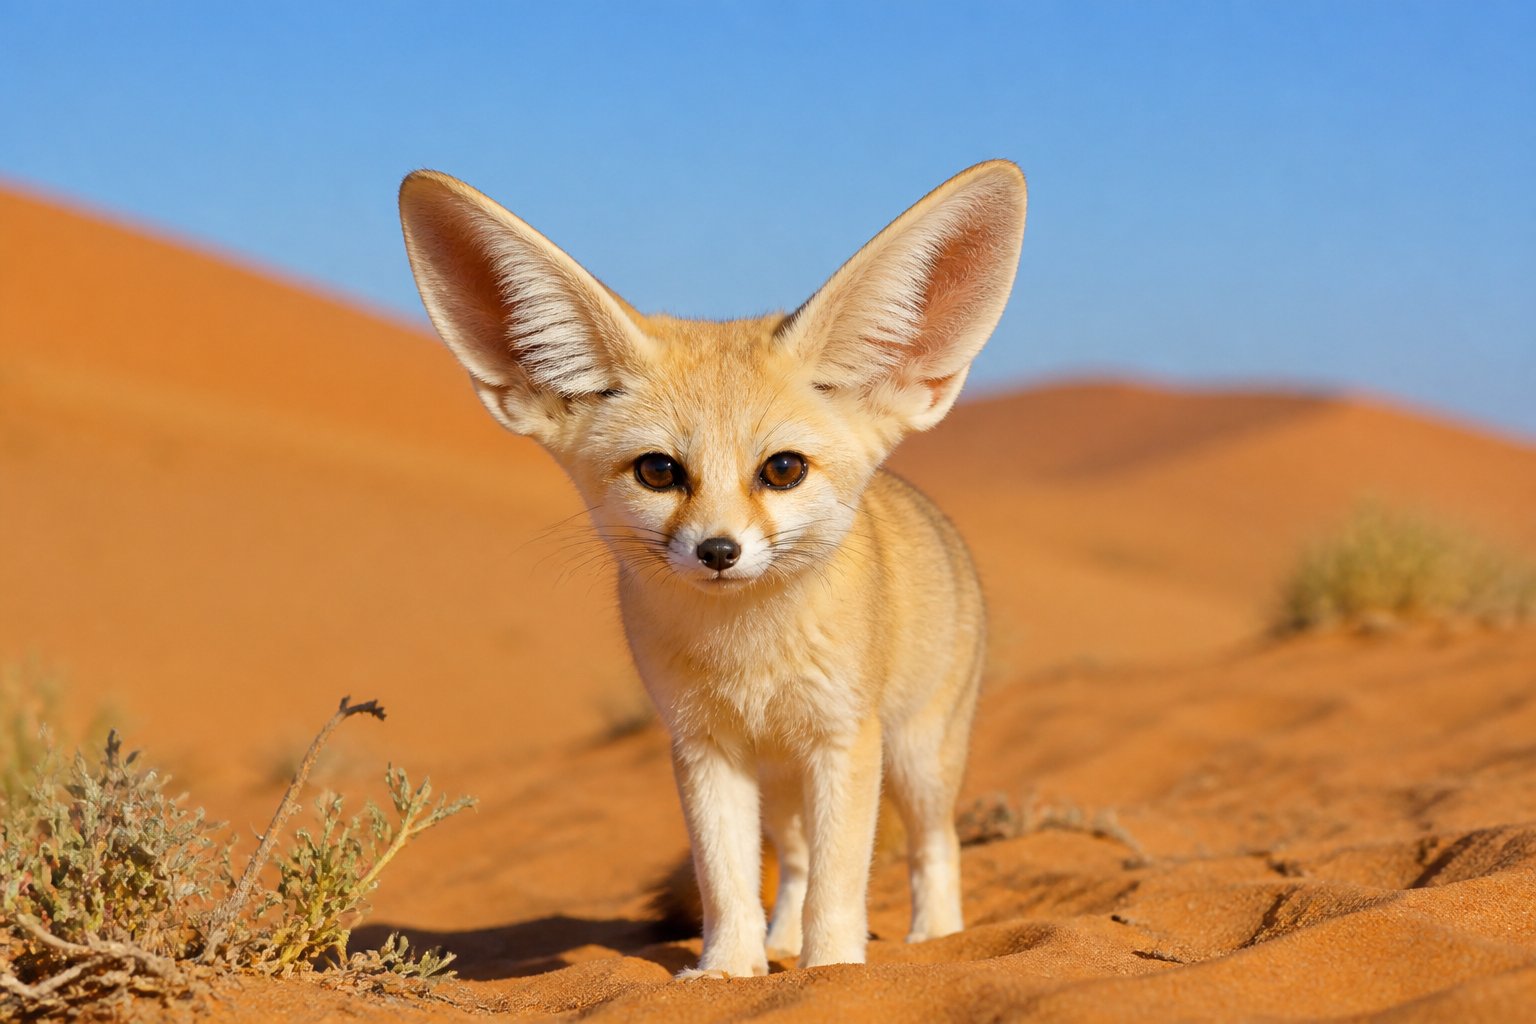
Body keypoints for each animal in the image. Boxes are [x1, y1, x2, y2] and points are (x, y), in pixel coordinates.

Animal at [397, 160, 1027, 978]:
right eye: (659, 471)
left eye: (783, 469)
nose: (719, 551)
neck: (748, 653)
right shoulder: (704, 746)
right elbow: (727, 879)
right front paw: (731, 971)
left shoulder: (842, 741)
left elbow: (840, 886)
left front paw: (832, 970)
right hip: (782, 780)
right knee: (793, 862)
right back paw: (781, 942)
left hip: (918, 758)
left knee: (934, 844)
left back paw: (936, 938)